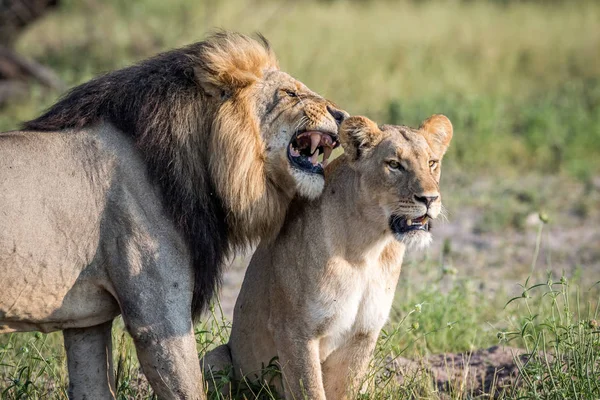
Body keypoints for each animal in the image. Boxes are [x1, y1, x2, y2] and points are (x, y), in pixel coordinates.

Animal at [0, 32, 346, 398]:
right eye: (290, 93)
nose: (340, 114)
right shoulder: (158, 320)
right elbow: (188, 385)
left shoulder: (87, 321)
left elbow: (92, 385)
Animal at [204, 114, 452, 398]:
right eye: (394, 164)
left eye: (432, 163)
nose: (430, 199)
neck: (367, 248)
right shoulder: (295, 331)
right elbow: (310, 389)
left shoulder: (363, 334)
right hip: (215, 358)